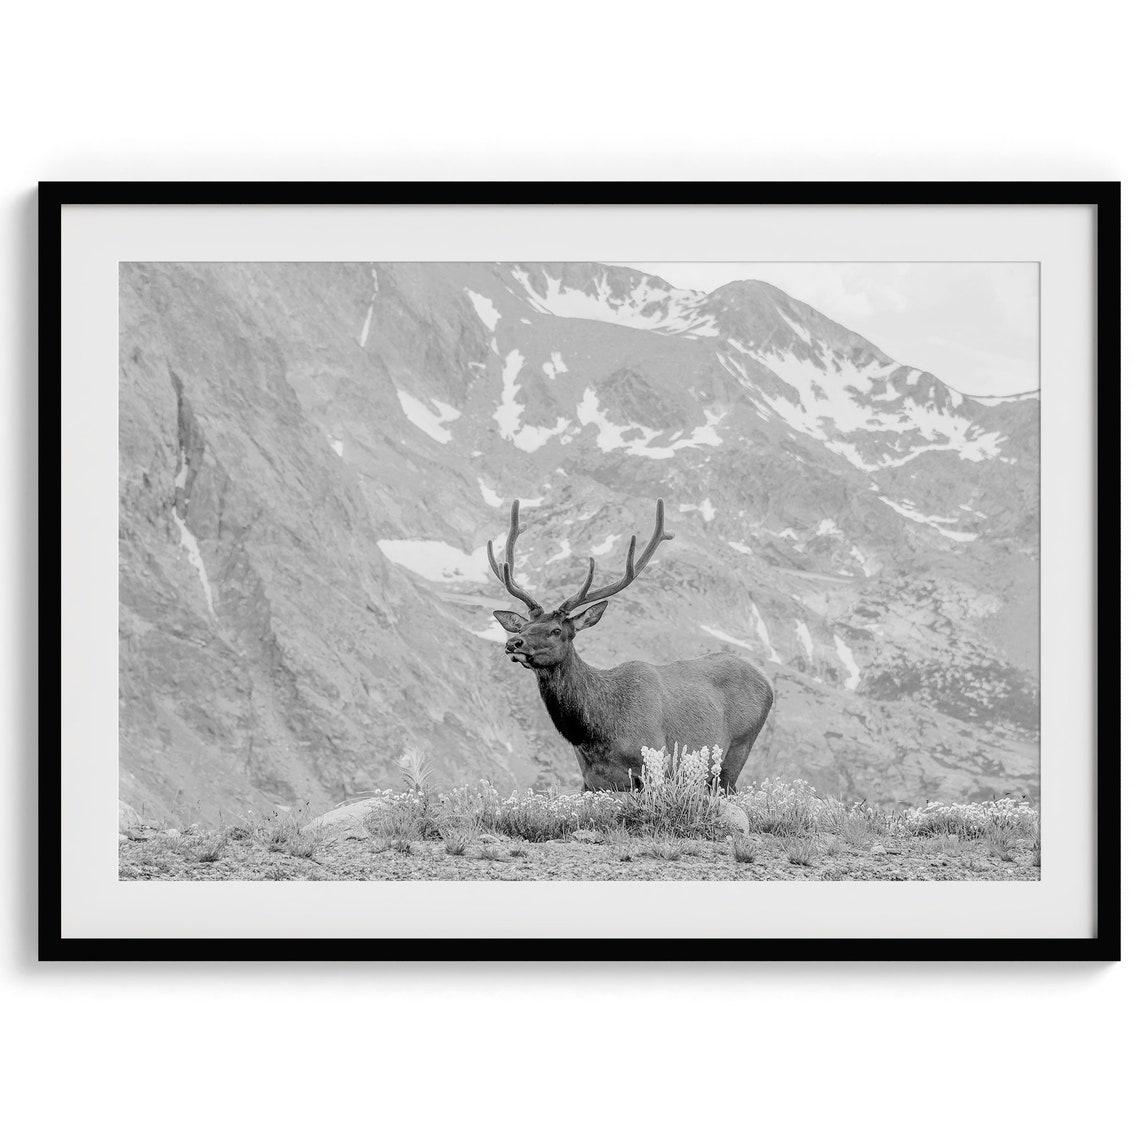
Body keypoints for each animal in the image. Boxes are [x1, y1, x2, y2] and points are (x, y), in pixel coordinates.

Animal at [488, 498, 774, 793]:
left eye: (556, 631)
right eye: (521, 628)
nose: (513, 643)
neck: (596, 735)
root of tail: (766, 681)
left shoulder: (655, 762)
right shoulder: (591, 781)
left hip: (738, 750)